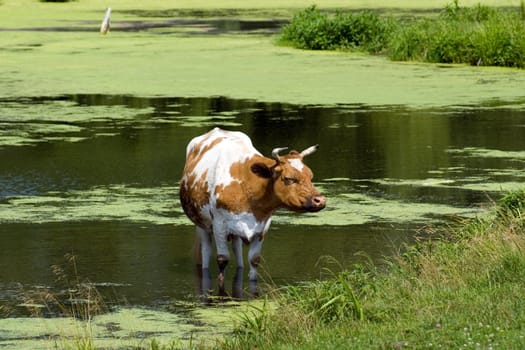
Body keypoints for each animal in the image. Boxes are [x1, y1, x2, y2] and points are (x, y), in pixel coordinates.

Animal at [182, 127, 326, 292]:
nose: (320, 200)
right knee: (205, 252)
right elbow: (222, 259)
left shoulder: (263, 226)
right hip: (202, 224)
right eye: (288, 179)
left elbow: (254, 260)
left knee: (237, 251)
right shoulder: (219, 225)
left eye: (311, 176)